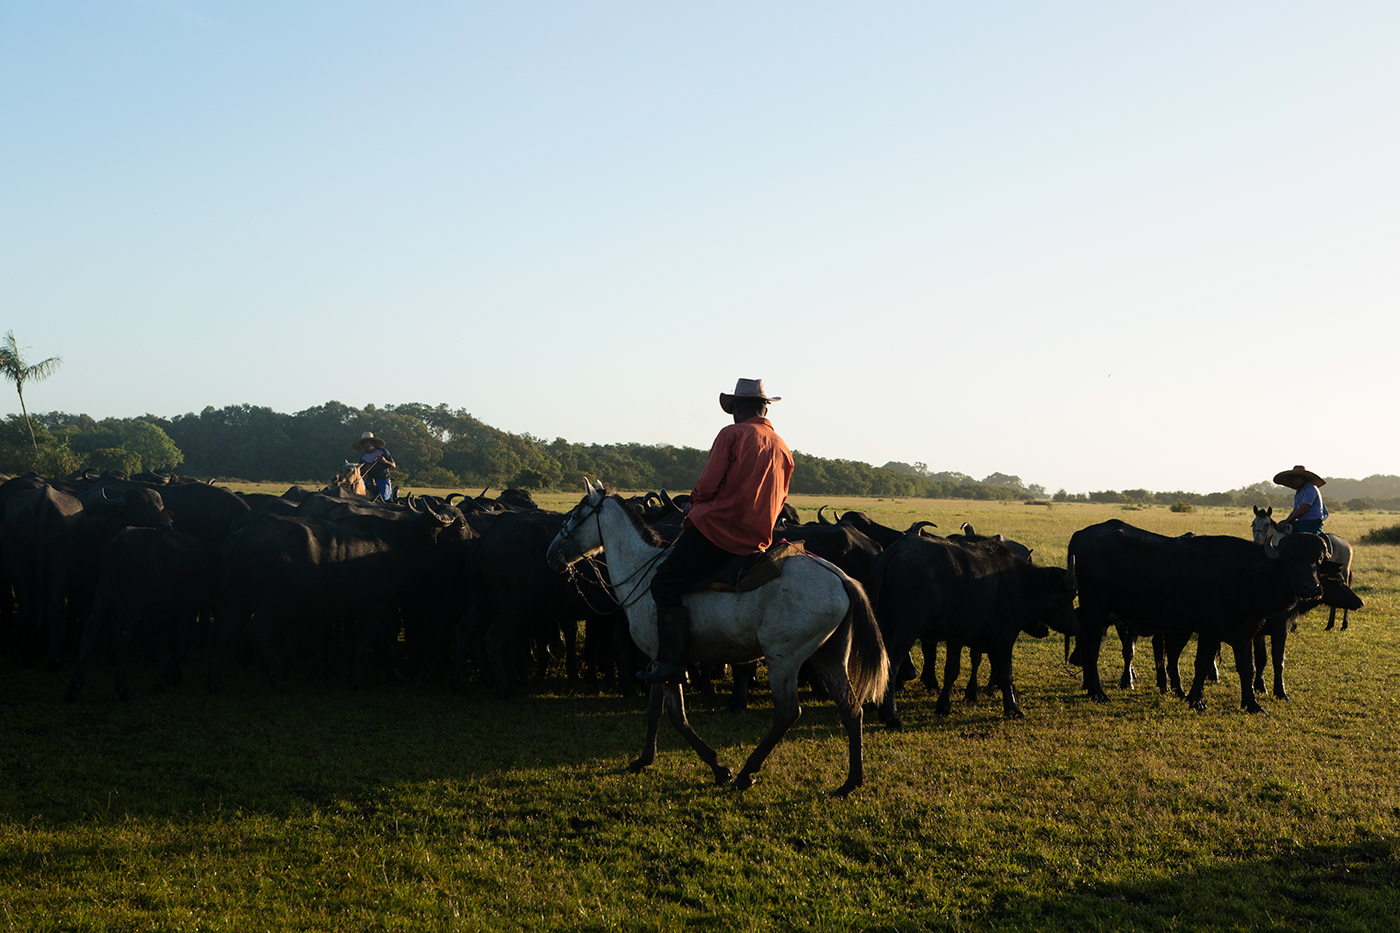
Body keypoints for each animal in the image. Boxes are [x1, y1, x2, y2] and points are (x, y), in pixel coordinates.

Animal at [546, 479, 884, 790]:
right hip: (829, 656)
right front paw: (643, 759)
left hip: (783, 658)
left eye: (574, 516)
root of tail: (840, 577)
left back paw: (748, 772)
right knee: (851, 709)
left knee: (788, 712)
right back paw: (852, 780)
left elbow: (677, 717)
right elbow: (654, 712)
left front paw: (718, 767)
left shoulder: (668, 663)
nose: (552, 554)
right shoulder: (657, 660)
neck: (643, 568)